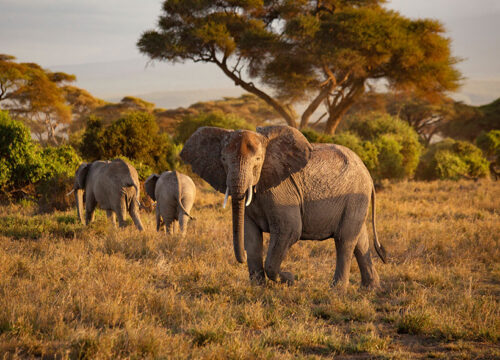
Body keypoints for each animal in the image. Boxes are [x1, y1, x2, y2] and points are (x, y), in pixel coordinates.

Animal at [180, 126, 386, 290]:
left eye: (258, 159)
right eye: (223, 159)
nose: (241, 256)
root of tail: (367, 172)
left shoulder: (281, 191)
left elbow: (289, 230)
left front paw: (289, 279)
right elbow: (251, 236)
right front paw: (258, 289)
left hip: (356, 194)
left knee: (344, 239)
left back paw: (336, 291)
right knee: (360, 240)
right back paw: (370, 289)